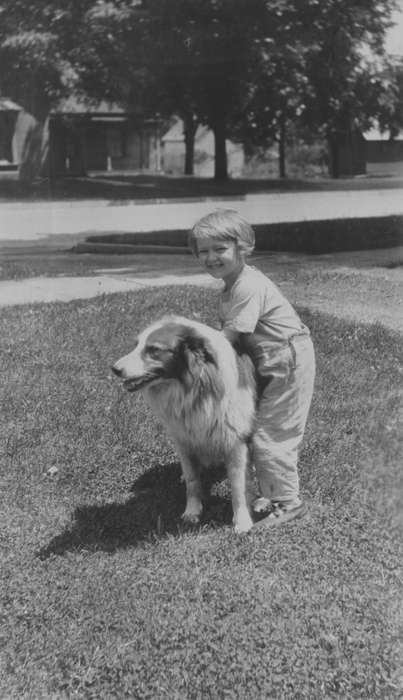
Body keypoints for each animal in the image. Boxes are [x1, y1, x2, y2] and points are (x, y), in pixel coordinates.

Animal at [112, 314, 258, 532]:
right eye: (136, 345)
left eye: (153, 349)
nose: (114, 369)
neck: (192, 389)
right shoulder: (184, 440)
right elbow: (192, 480)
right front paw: (192, 511)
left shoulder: (235, 442)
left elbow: (238, 485)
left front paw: (242, 521)